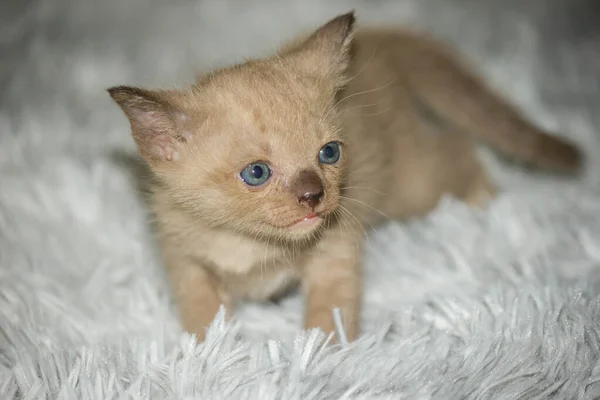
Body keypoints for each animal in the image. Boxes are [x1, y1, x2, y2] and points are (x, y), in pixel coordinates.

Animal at [108, 13, 580, 344]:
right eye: (256, 173)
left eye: (329, 153)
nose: (313, 194)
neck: (251, 245)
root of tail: (377, 39)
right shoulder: (182, 254)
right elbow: (201, 307)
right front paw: (209, 354)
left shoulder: (336, 245)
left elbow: (329, 312)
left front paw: (321, 363)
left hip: (411, 187)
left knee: (456, 144)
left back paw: (485, 198)